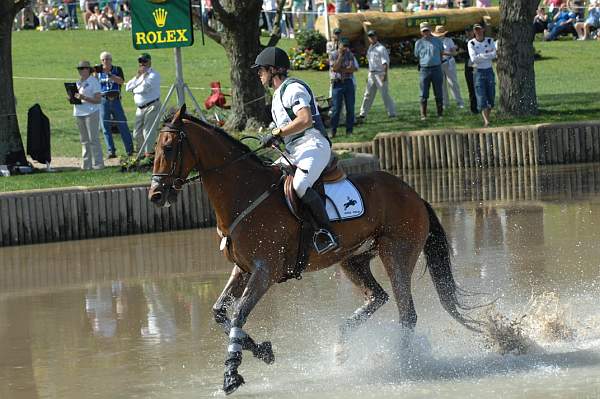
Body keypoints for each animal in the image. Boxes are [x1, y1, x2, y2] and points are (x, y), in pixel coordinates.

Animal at [150, 106, 482, 396]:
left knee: (407, 313)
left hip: (396, 254)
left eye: (168, 148)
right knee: (378, 297)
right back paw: (341, 347)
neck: (243, 193)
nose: (156, 195)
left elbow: (238, 315)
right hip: (352, 260)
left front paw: (231, 374)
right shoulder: (242, 269)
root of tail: (414, 194)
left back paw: (402, 365)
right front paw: (263, 352)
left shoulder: (264, 272)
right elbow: (220, 313)